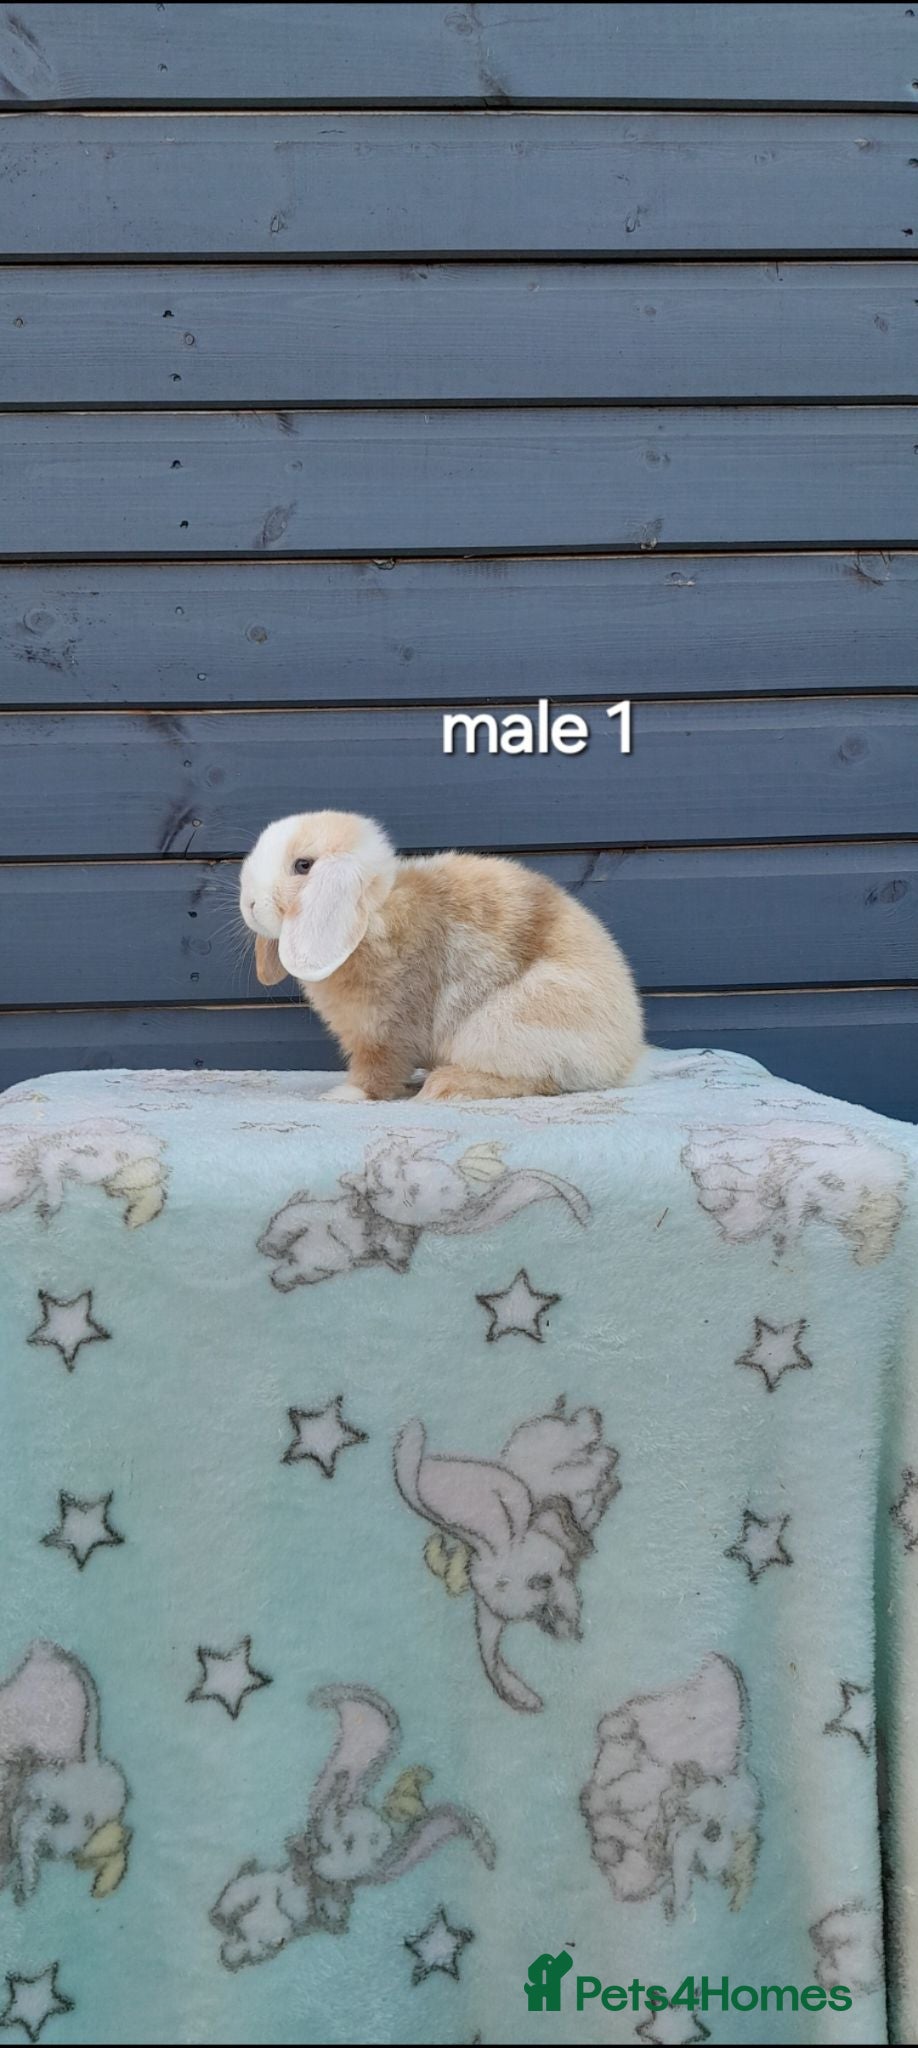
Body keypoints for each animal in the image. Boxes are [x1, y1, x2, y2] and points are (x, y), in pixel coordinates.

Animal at [239, 810, 644, 1102]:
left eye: (303, 866)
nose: (250, 905)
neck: (373, 914)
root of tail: (625, 1059)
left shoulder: (384, 1029)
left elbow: (378, 1068)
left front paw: (346, 1094)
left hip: (503, 1023)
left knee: (540, 1080)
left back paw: (448, 1085)